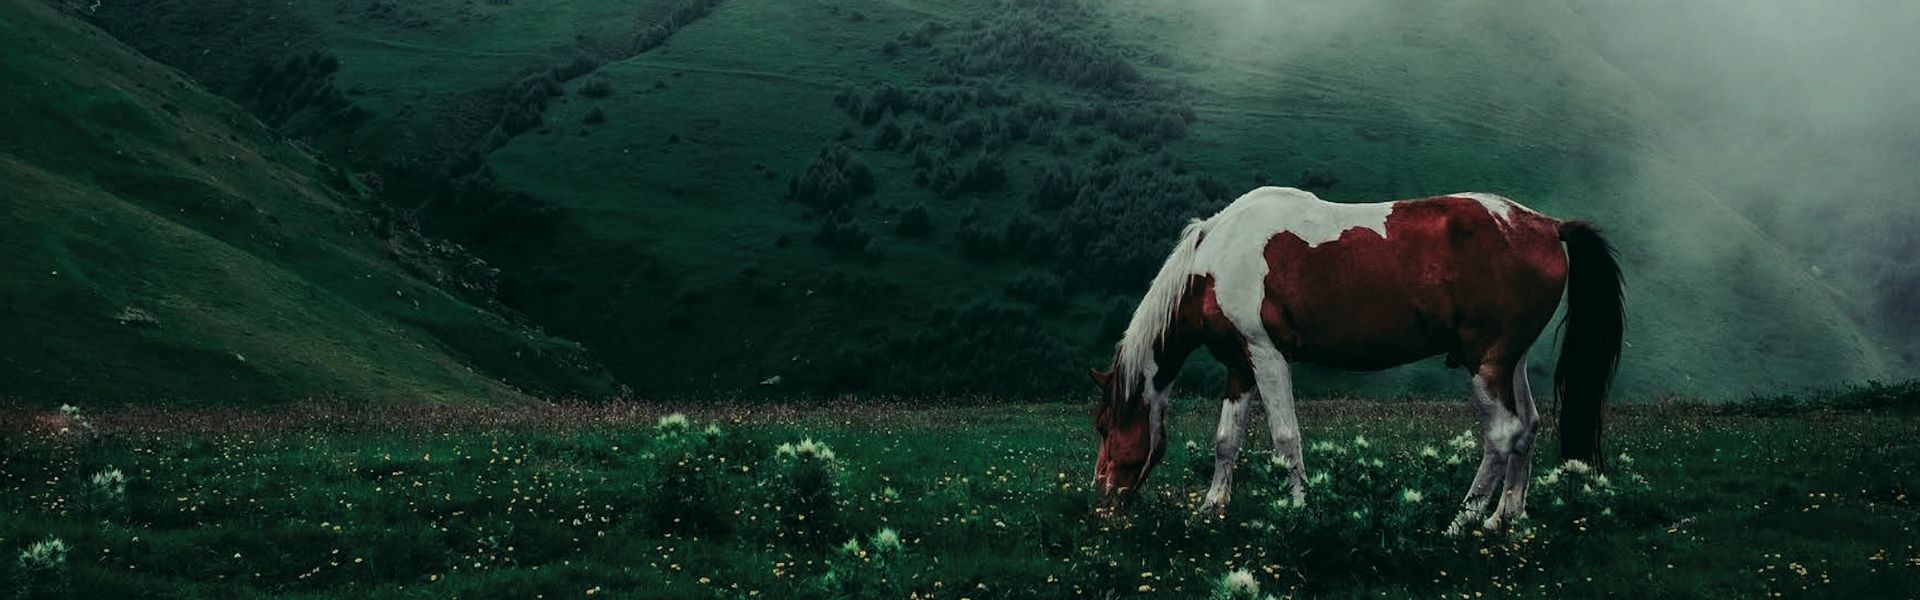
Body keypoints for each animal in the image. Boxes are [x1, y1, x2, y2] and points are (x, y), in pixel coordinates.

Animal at [1090, 186, 1623, 531]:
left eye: (1104, 427)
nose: (1104, 497)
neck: (1216, 260)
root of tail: (1548, 227)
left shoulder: (1267, 356)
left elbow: (1286, 437)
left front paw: (1298, 507)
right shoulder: (1240, 366)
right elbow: (1227, 440)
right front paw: (1212, 507)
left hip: (1486, 363)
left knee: (1503, 434)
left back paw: (1462, 519)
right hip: (1511, 360)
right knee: (1528, 427)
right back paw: (1503, 517)